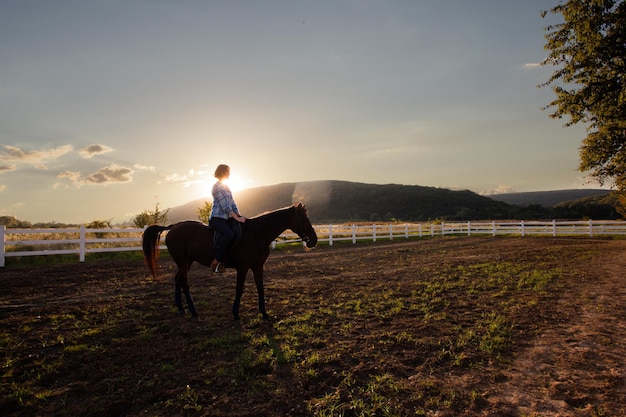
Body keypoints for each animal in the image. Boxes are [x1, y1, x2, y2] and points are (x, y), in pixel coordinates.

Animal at [143, 204, 316, 318]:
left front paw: (264, 313)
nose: (313, 240)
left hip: (187, 261)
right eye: (303, 219)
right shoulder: (243, 268)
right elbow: (239, 289)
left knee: (178, 279)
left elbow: (260, 288)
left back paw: (180, 307)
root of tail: (172, 227)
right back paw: (193, 311)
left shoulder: (258, 266)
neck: (257, 234)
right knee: (184, 283)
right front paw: (235, 313)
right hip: (182, 260)